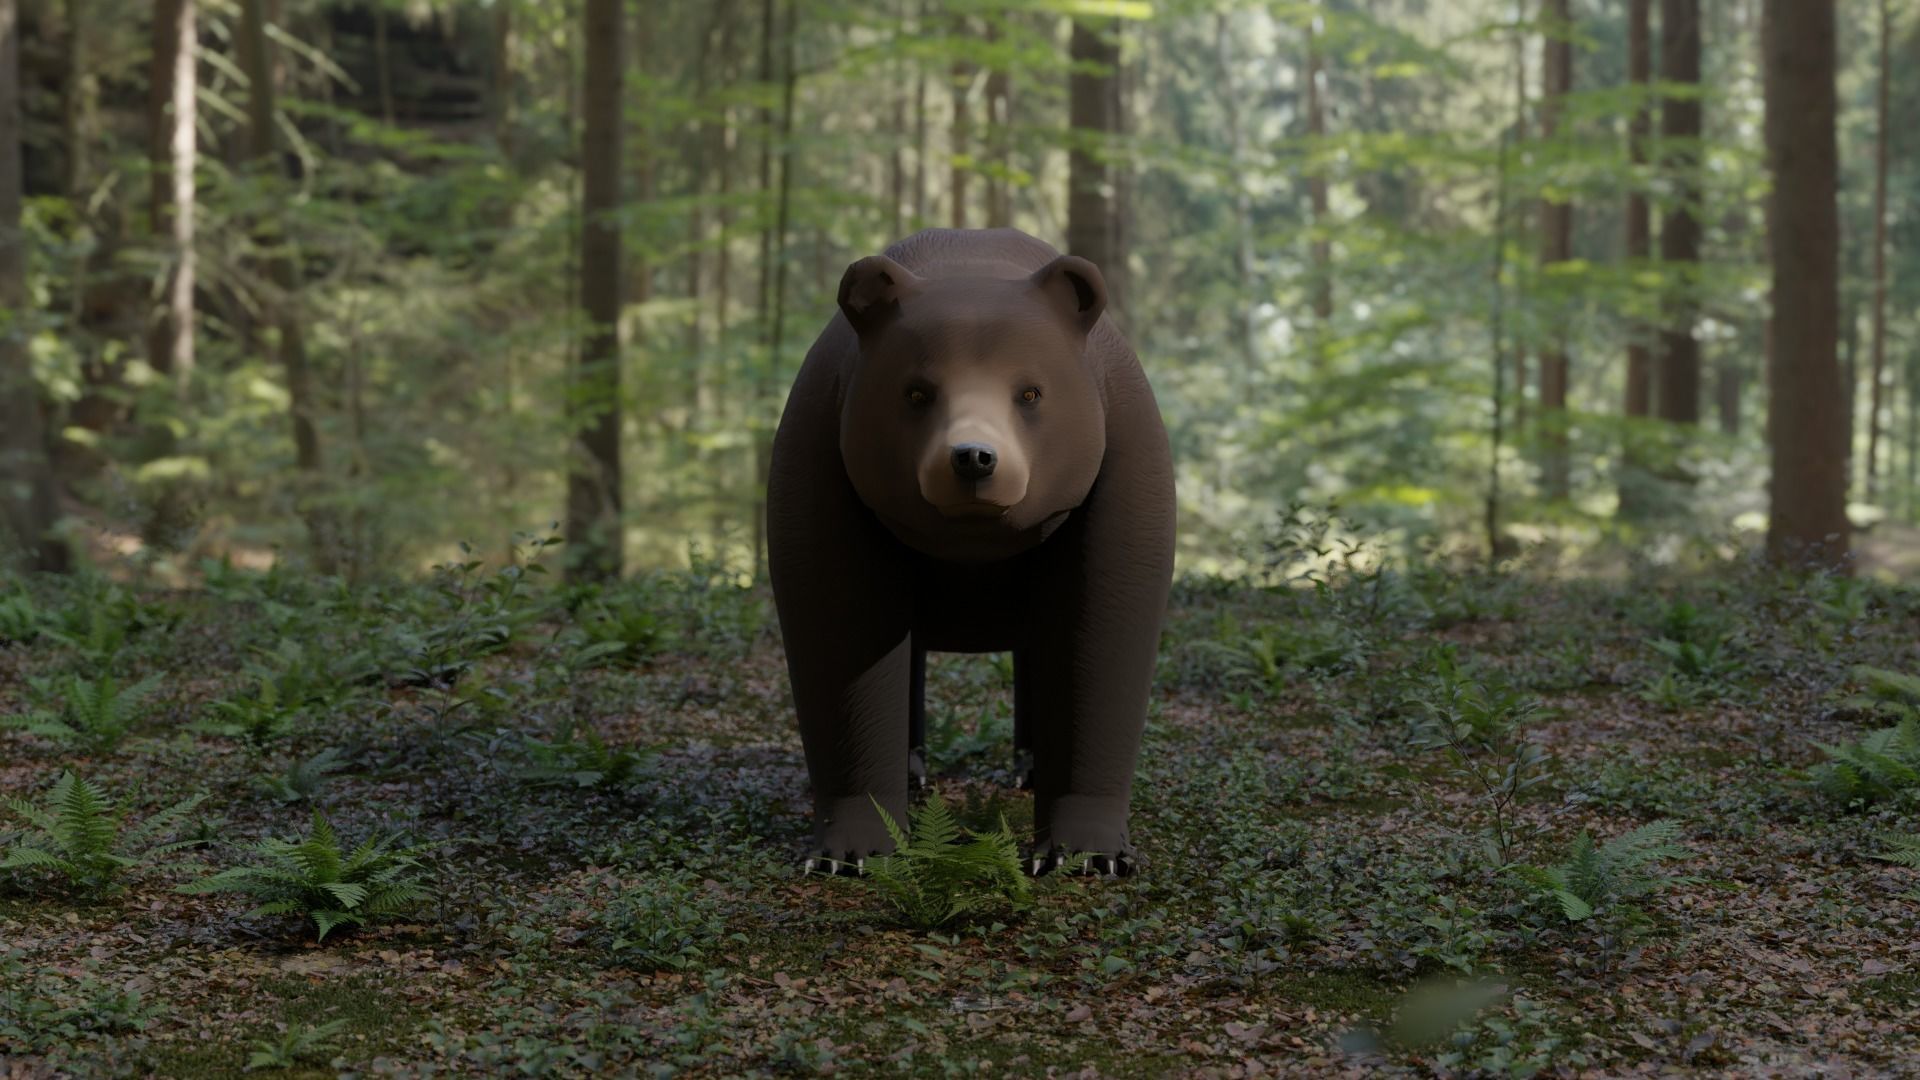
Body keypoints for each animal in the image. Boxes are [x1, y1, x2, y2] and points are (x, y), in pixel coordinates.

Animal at [766, 227, 1176, 877]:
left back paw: (1028, 766)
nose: (974, 458)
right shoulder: (824, 452)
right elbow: (843, 632)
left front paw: (1091, 854)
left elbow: (1104, 632)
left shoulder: (1120, 455)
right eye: (916, 392)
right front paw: (851, 852)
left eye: (1030, 392)